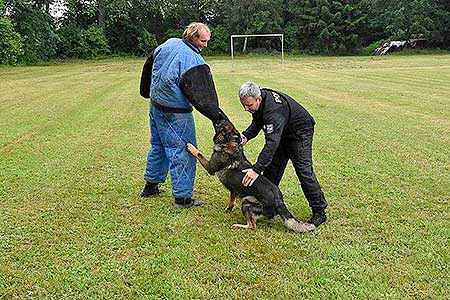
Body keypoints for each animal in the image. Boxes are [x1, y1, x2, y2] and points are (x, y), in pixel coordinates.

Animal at [185, 118, 314, 233]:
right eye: (228, 126)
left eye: (224, 128)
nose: (221, 118)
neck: (229, 143)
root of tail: (279, 201)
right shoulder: (234, 190)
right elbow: (231, 199)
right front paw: (228, 209)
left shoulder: (210, 167)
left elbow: (199, 154)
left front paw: (191, 147)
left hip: (246, 203)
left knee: (252, 226)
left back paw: (238, 225)